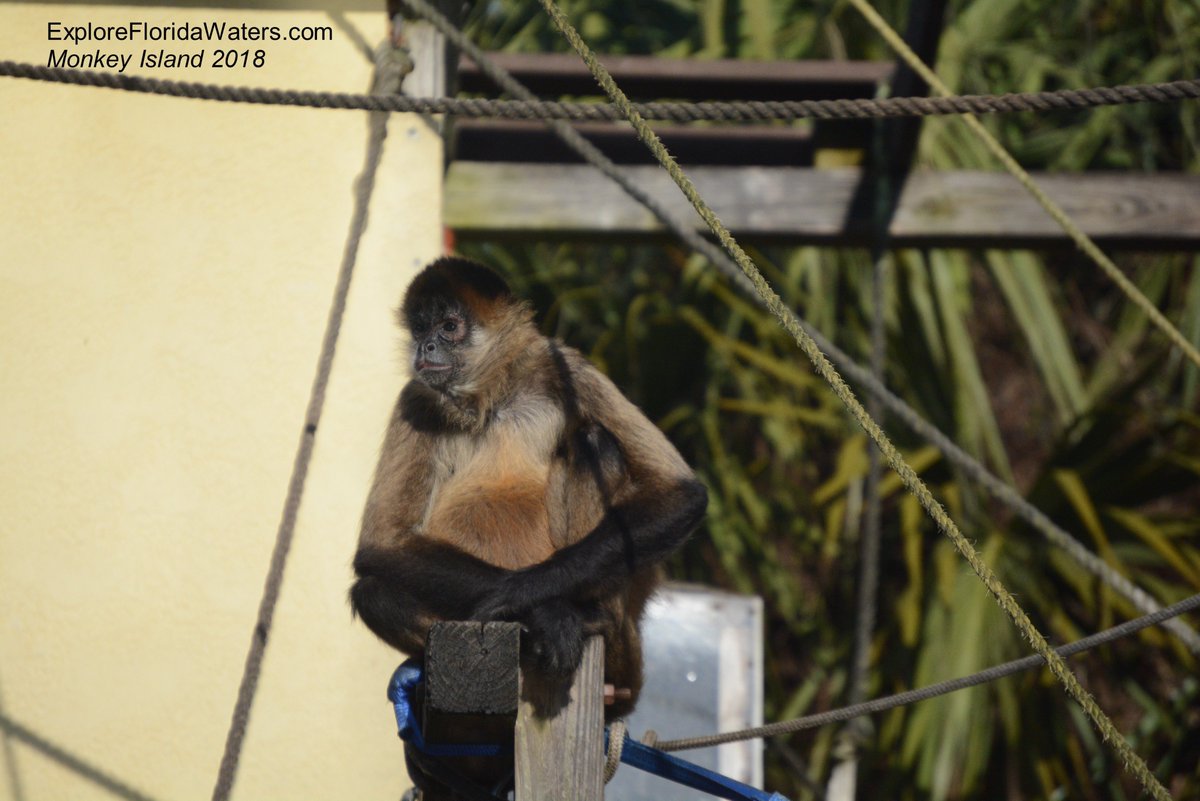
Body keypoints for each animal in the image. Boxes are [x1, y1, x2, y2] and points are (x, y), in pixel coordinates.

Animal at [349, 257, 706, 760]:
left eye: (449, 326)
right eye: (420, 327)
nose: (426, 345)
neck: (489, 398)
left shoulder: (565, 365)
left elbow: (680, 494)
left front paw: (524, 598)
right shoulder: (414, 397)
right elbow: (381, 547)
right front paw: (540, 613)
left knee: (594, 440)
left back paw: (590, 615)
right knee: (373, 591)